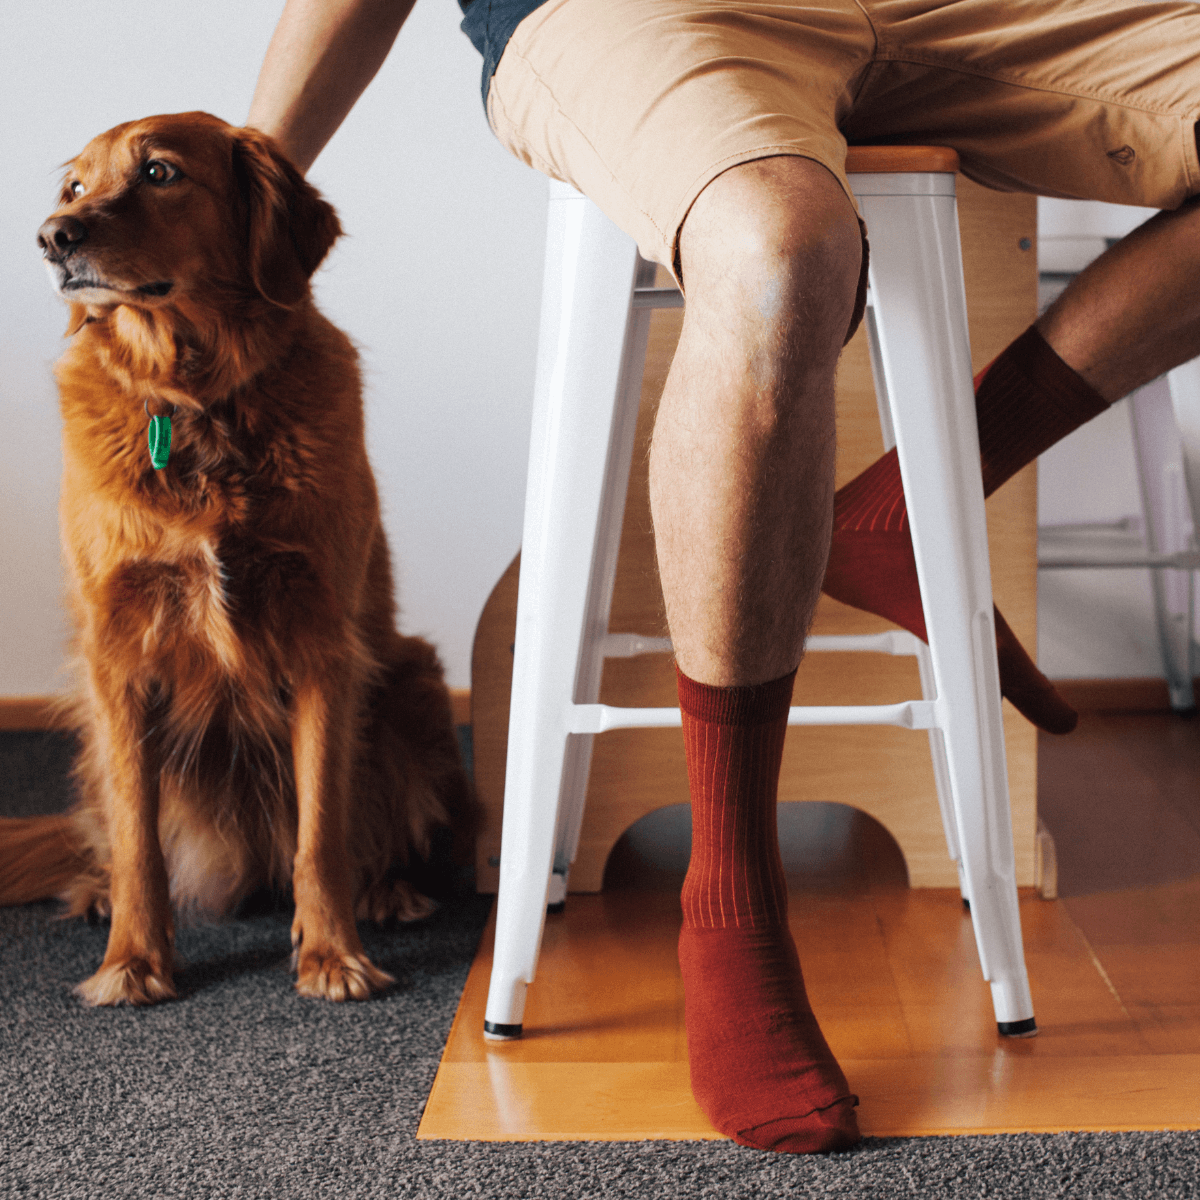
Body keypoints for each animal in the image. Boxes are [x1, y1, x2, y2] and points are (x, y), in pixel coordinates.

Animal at [0, 112, 477, 1008]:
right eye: (75, 185)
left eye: (159, 172)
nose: (51, 236)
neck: (196, 403)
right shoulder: (117, 656)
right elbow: (139, 837)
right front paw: (133, 959)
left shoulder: (323, 646)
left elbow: (322, 830)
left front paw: (332, 954)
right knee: (110, 832)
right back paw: (97, 891)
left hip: (414, 680)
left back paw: (386, 891)